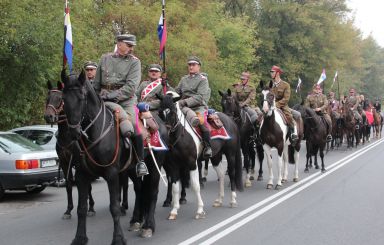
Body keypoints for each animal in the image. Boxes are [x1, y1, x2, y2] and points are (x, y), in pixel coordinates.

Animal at [44, 81, 96, 220]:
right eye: (47, 98)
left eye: (60, 99)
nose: (48, 116)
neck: (67, 136)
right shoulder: (64, 163)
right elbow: (68, 184)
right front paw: (68, 210)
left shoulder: (79, 162)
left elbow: (85, 184)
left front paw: (90, 207)